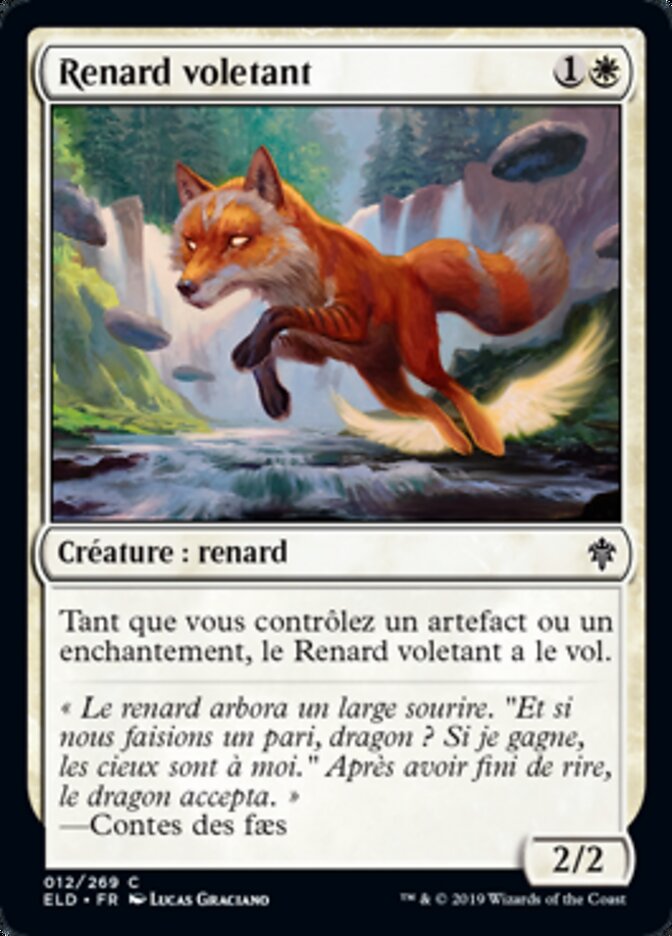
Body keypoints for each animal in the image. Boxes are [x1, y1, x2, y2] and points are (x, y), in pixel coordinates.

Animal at [172, 146, 570, 456]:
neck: (296, 277)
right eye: (191, 243)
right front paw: (272, 393)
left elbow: (277, 315)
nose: (184, 287)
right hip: (388, 389)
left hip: (419, 362)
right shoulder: (314, 349)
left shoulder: (349, 317)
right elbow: (271, 346)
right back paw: (457, 445)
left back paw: (486, 439)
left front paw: (250, 351)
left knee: (454, 390)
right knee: (431, 408)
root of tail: (405, 264)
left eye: (237, 241)